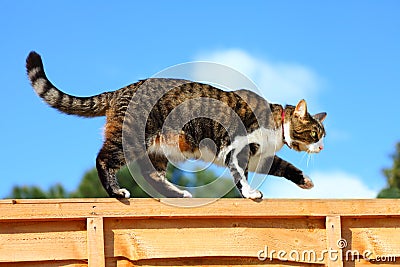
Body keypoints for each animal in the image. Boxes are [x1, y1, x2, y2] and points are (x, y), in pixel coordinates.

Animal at [25, 51, 326, 200]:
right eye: (315, 133)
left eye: (323, 135)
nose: (322, 147)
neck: (276, 123)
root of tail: (120, 90)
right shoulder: (236, 149)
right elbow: (241, 177)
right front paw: (251, 194)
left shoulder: (258, 156)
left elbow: (284, 166)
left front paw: (306, 181)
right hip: (131, 138)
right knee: (103, 159)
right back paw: (117, 192)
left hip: (159, 148)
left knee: (151, 174)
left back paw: (178, 192)